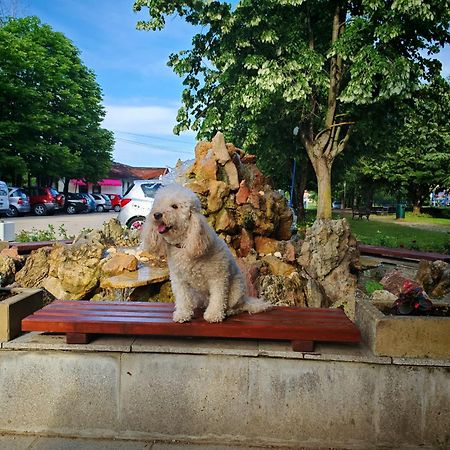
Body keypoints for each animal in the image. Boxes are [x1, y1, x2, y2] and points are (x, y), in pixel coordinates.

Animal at [142, 183, 270, 324]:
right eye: (158, 205)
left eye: (174, 206)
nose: (157, 214)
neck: (185, 244)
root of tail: (245, 298)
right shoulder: (179, 280)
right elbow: (182, 298)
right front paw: (183, 314)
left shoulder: (218, 278)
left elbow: (218, 298)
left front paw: (214, 315)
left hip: (236, 291)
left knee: (236, 306)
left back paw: (229, 311)